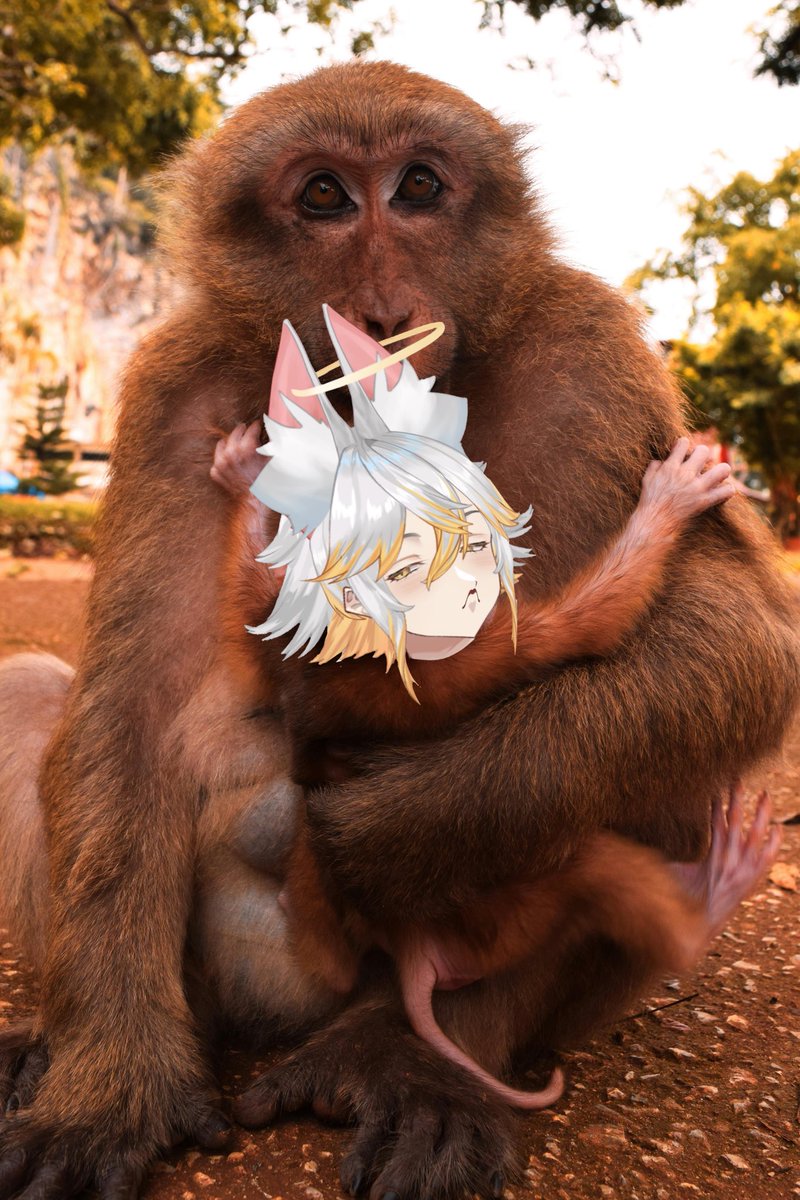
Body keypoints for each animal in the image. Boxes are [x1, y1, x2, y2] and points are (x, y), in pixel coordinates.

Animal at [0, 60, 797, 1200]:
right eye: (325, 196)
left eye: (418, 186)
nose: (380, 312)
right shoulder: (174, 394)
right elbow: (129, 710)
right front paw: (109, 1084)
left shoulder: (585, 351)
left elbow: (734, 631)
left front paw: (393, 823)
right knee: (34, 691)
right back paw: (63, 1045)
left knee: (676, 751)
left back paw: (425, 1059)